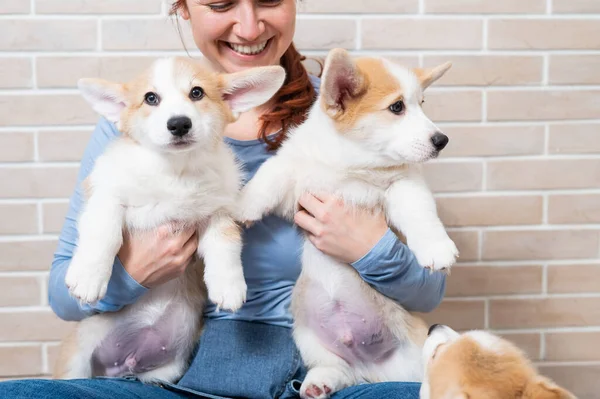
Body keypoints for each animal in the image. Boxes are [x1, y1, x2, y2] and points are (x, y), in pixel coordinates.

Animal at [54, 57, 286, 384]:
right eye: (151, 98)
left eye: (197, 93)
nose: (178, 124)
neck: (175, 171)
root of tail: (125, 365)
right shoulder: (105, 192)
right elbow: (104, 230)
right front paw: (89, 277)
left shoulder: (218, 212)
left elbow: (225, 247)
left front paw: (228, 285)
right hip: (77, 361)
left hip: (166, 371)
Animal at [238, 48, 460, 398]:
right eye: (397, 107)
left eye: (422, 103)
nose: (442, 140)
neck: (351, 165)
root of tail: (370, 370)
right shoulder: (297, 179)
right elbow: (270, 175)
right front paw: (243, 204)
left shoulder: (404, 185)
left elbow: (419, 213)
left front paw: (436, 249)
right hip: (307, 336)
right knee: (338, 369)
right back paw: (320, 382)